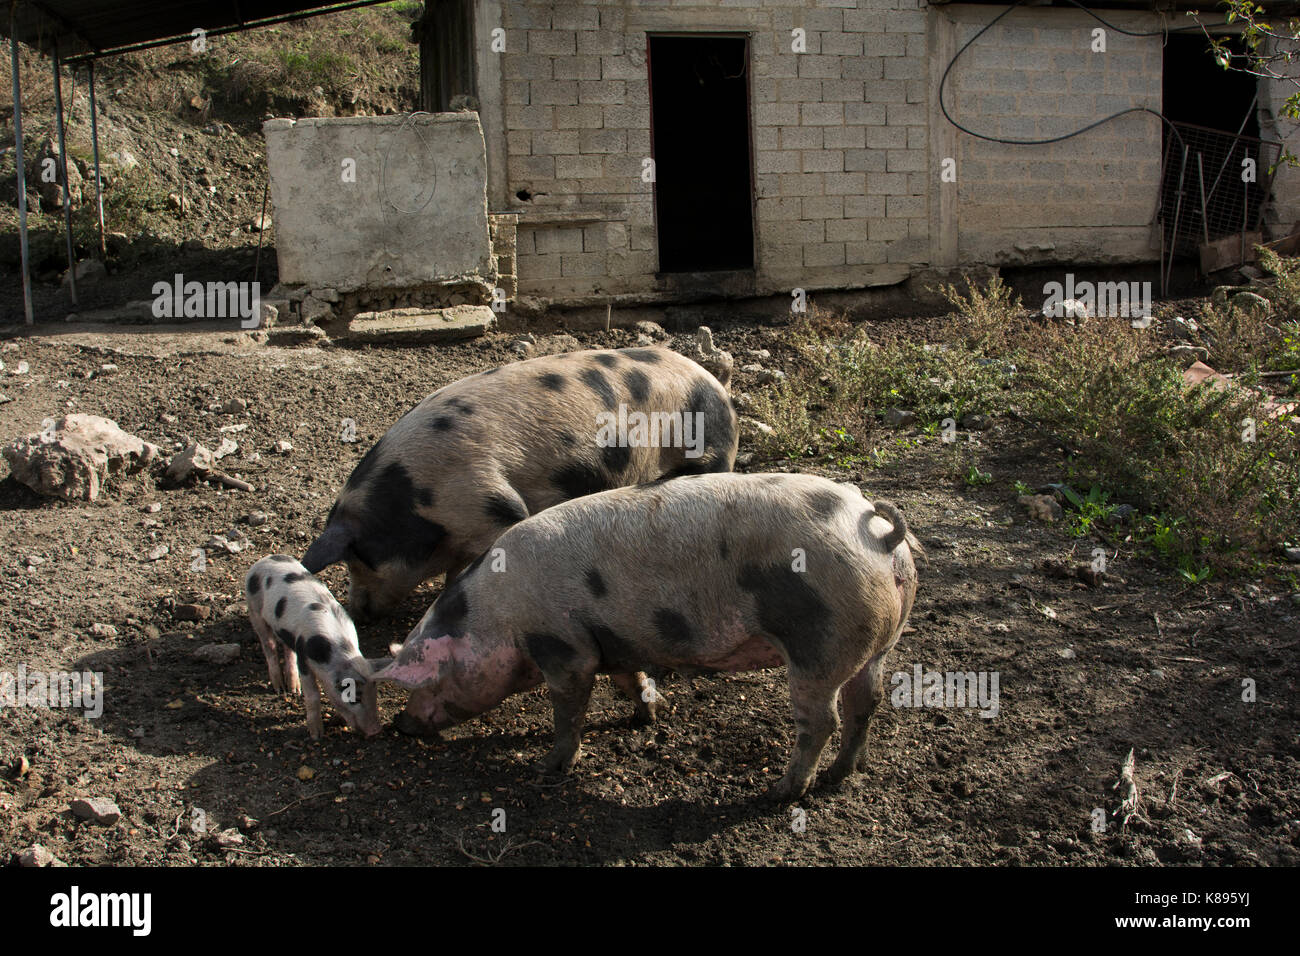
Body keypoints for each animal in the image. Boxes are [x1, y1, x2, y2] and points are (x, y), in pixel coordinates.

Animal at [297, 345, 738, 621]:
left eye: (359, 558)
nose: (357, 610)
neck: (416, 503)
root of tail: (714, 383)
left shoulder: (489, 506)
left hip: (710, 449)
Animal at [374, 473, 925, 801]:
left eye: (425, 680)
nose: (400, 725)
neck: (497, 614)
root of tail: (879, 534)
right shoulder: (612, 641)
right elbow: (628, 677)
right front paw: (649, 715)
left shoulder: (565, 647)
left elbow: (568, 710)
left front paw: (548, 767)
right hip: (877, 642)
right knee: (867, 702)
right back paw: (838, 776)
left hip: (819, 644)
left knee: (823, 720)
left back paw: (780, 792)